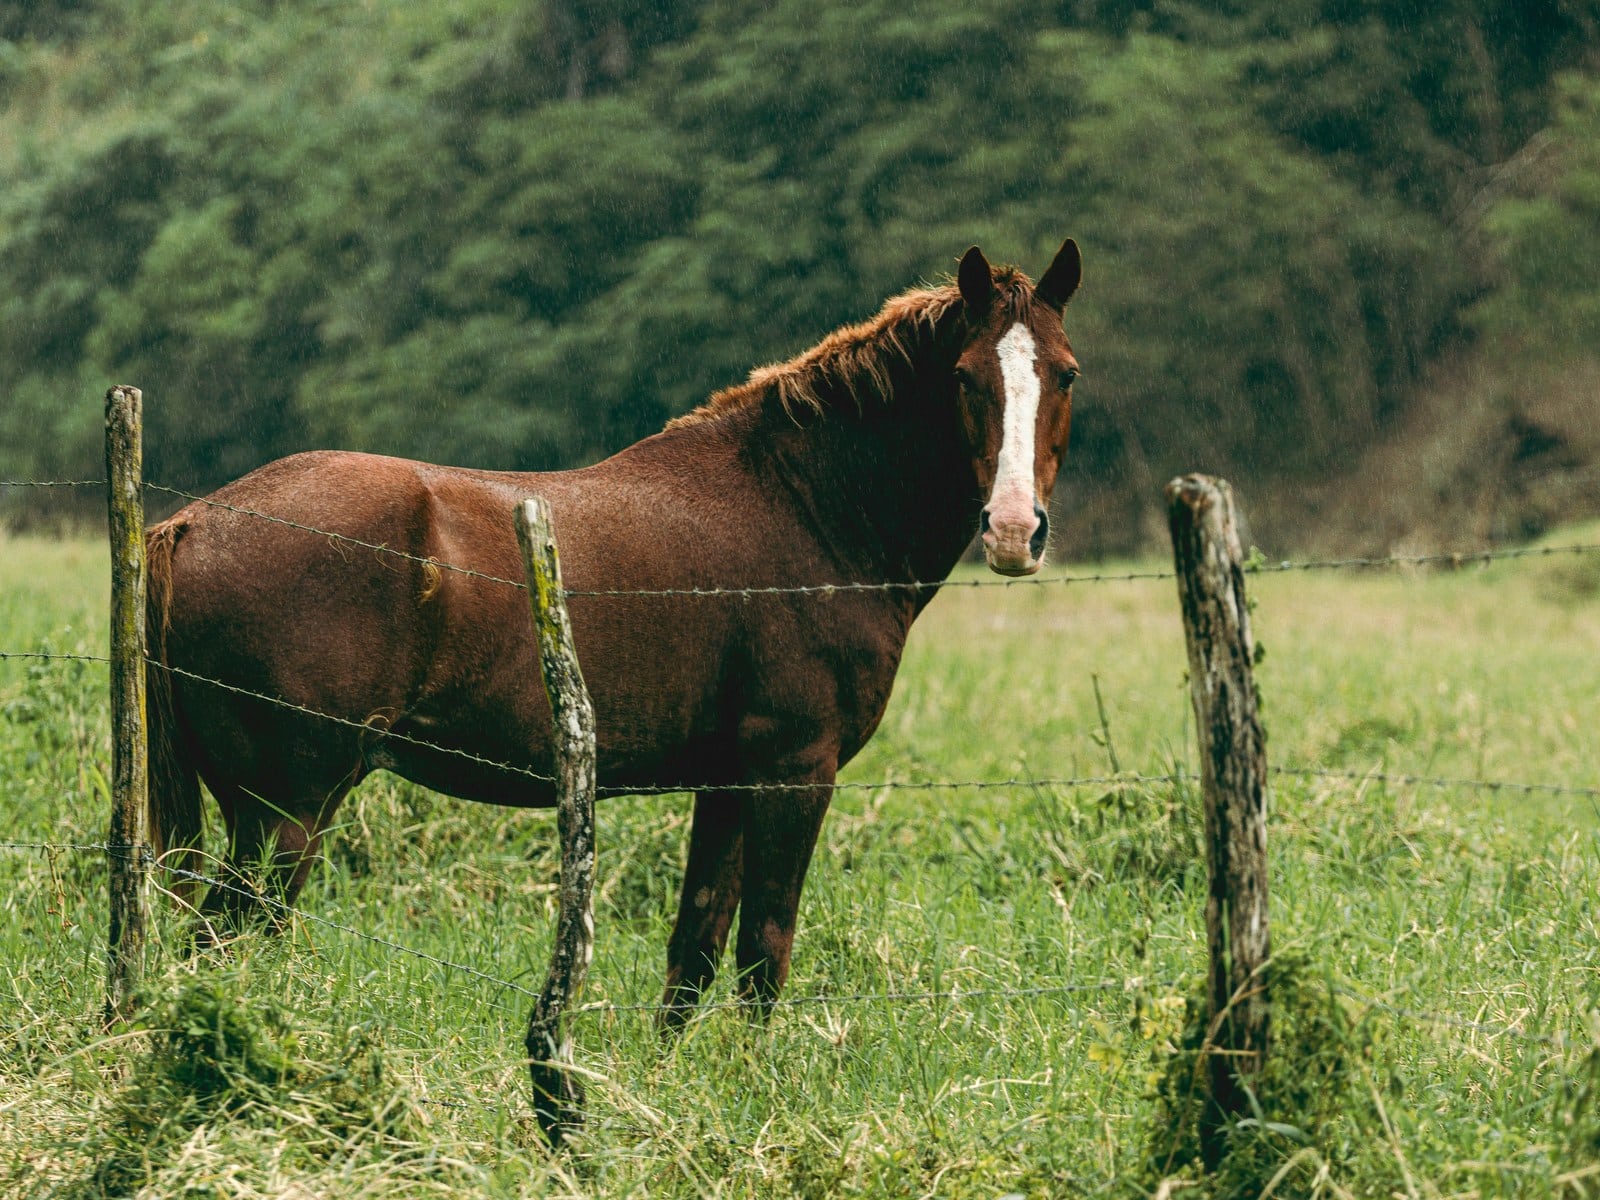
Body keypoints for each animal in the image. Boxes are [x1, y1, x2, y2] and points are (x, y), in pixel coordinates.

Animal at [143, 239, 1083, 1028]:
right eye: (964, 376)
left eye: (1066, 375)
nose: (1012, 530)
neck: (807, 508)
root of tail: (192, 523)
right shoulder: (792, 772)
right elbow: (763, 953)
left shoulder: (727, 782)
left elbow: (696, 948)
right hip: (286, 814)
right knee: (227, 939)